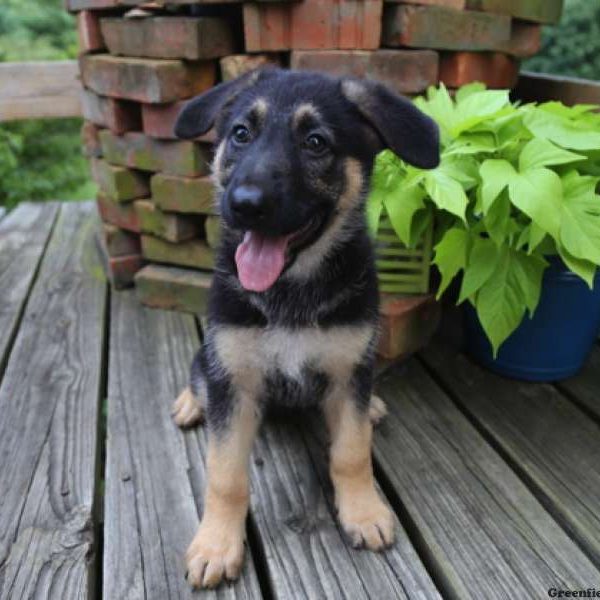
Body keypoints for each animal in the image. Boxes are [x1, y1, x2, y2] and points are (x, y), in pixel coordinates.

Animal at [171, 68, 438, 588]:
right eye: (241, 133)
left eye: (316, 143)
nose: (245, 204)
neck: (291, 290)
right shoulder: (232, 378)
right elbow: (225, 475)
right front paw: (216, 544)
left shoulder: (348, 370)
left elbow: (351, 452)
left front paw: (363, 513)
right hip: (211, 357)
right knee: (197, 375)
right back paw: (190, 403)